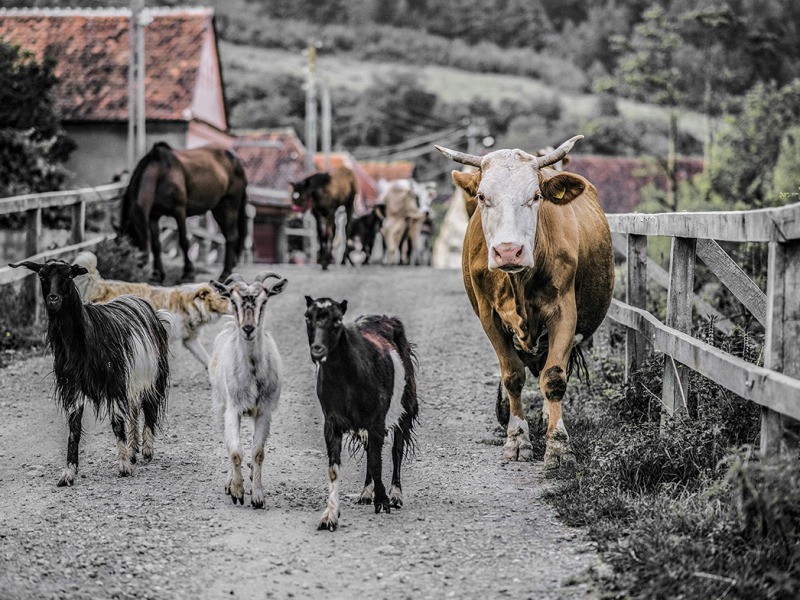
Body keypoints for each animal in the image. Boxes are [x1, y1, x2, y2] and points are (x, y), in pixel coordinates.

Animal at [8, 260, 172, 486]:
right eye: (41, 275)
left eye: (69, 276)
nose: (53, 299)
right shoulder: (73, 386)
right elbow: (74, 430)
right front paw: (68, 472)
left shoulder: (114, 382)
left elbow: (117, 424)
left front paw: (123, 466)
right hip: (132, 380)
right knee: (134, 410)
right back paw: (133, 450)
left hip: (153, 375)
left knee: (149, 407)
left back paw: (146, 450)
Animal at [120, 142, 247, 282]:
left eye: (134, 242)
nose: (131, 273)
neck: (161, 173)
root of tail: (236, 160)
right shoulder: (154, 216)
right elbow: (156, 245)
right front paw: (158, 274)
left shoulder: (179, 210)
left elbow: (183, 241)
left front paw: (188, 273)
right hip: (218, 210)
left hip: (229, 206)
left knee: (231, 237)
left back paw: (225, 273)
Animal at [209, 274, 288, 510]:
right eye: (233, 300)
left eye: (265, 300)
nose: (248, 328)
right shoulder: (233, 409)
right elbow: (235, 451)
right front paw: (237, 491)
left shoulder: (263, 411)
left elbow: (258, 453)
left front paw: (258, 496)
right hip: (219, 405)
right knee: (228, 443)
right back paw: (230, 483)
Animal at [304, 298, 418, 532]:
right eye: (307, 318)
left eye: (337, 321)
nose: (318, 350)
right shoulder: (332, 423)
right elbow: (335, 468)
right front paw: (329, 516)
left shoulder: (377, 421)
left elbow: (377, 460)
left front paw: (383, 501)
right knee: (370, 451)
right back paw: (366, 493)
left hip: (405, 408)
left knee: (396, 450)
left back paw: (396, 495)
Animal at [438, 136, 612, 474]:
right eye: (482, 196)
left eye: (536, 196)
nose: (508, 251)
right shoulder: (489, 316)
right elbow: (512, 375)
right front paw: (517, 439)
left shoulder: (564, 313)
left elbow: (554, 377)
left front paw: (558, 447)